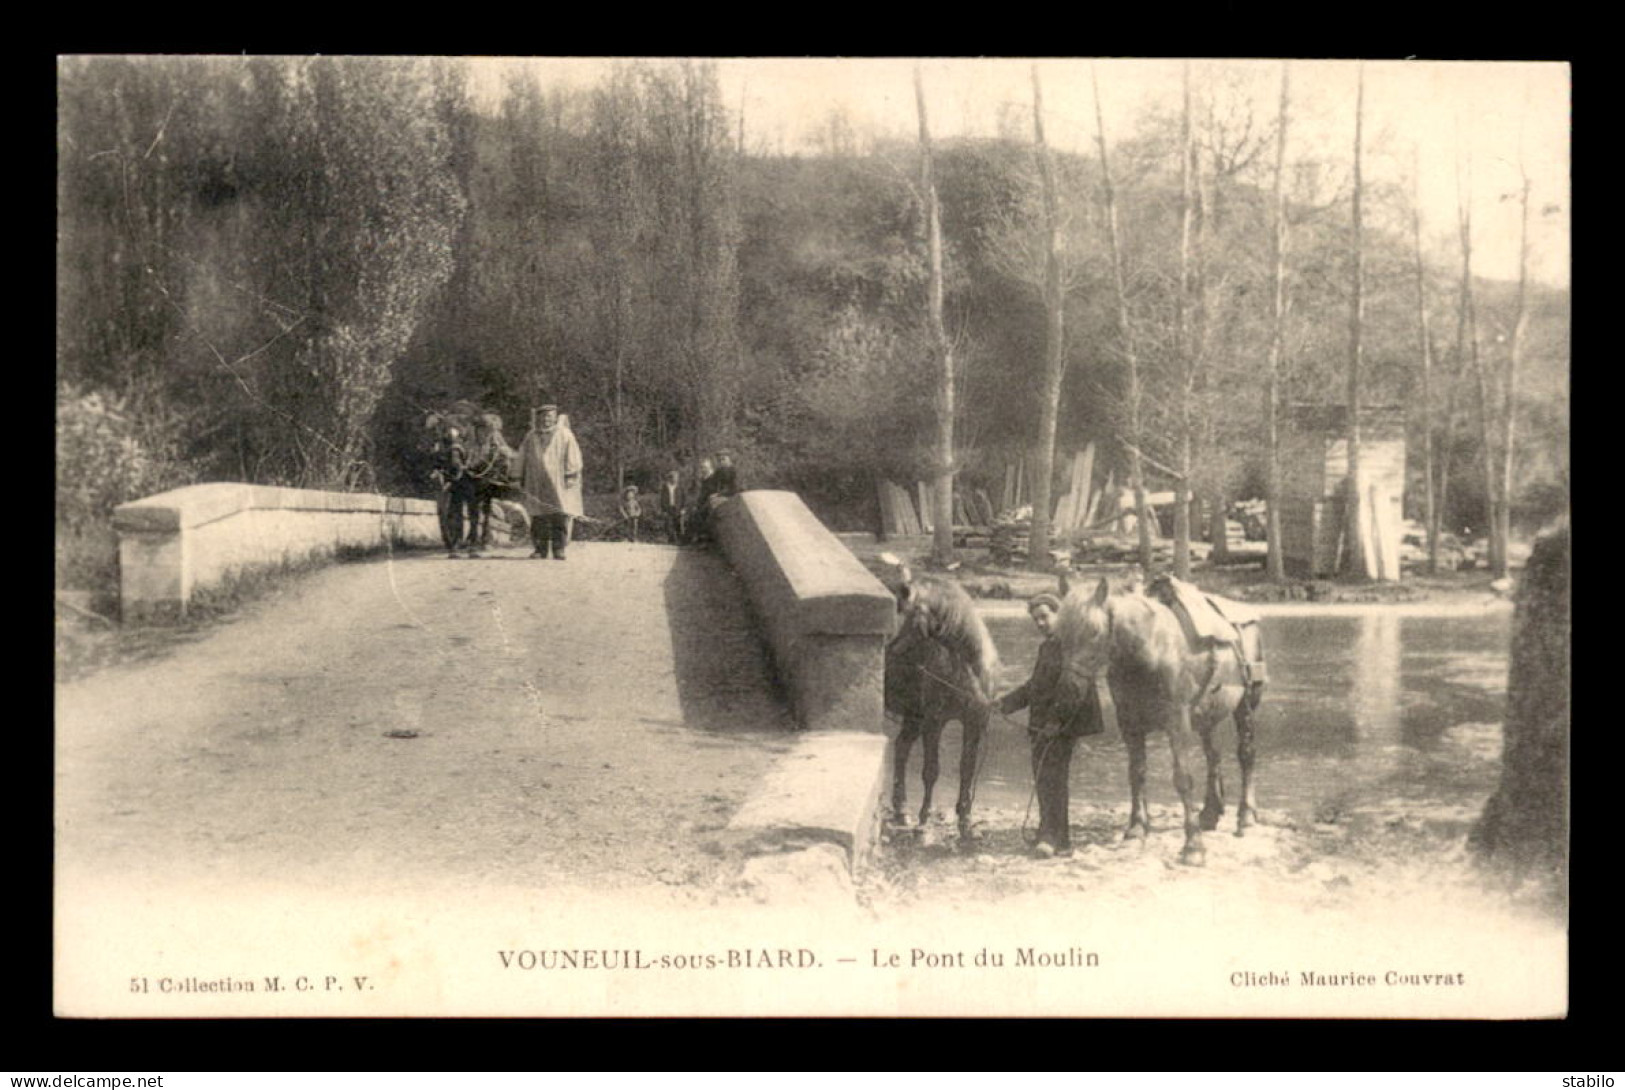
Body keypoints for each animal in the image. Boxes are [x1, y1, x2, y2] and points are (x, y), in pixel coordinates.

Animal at [884, 555, 994, 844]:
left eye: (910, 616)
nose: (891, 649)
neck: (966, 670)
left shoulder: (973, 722)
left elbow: (966, 769)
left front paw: (966, 824)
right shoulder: (935, 722)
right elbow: (931, 771)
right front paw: (924, 825)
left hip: (914, 717)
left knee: (901, 748)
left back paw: (901, 811)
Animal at [1046, 575, 1261, 864]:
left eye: (1094, 631)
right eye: (1059, 635)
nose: (1066, 692)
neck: (1151, 651)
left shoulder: (1177, 722)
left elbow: (1183, 778)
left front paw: (1193, 846)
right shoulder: (1130, 724)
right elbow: (1136, 773)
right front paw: (1136, 828)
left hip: (1245, 706)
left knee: (1246, 754)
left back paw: (1246, 817)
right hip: (1207, 716)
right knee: (1213, 756)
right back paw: (1209, 814)